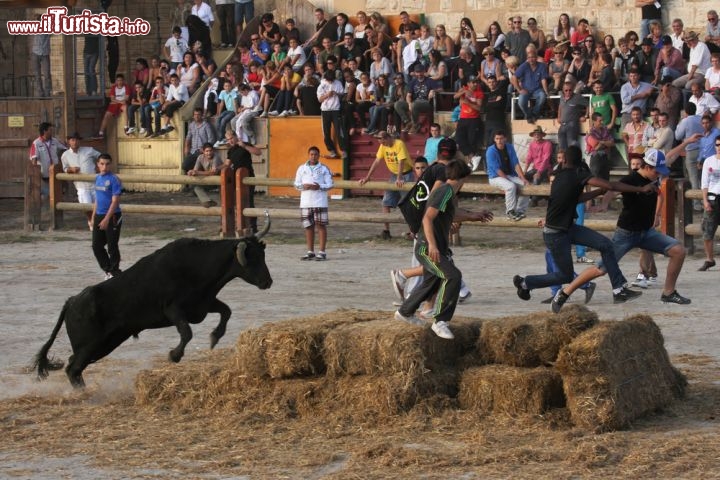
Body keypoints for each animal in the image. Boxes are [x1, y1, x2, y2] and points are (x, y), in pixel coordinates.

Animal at [33, 219, 272, 388]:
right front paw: (174, 355)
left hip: (106, 343)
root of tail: (72, 301)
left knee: (73, 365)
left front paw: (214, 338)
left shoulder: (203, 304)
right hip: (91, 345)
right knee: (73, 368)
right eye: (253, 258)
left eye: (263, 255)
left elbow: (226, 311)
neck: (198, 265)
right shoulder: (173, 310)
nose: (267, 282)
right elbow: (186, 333)